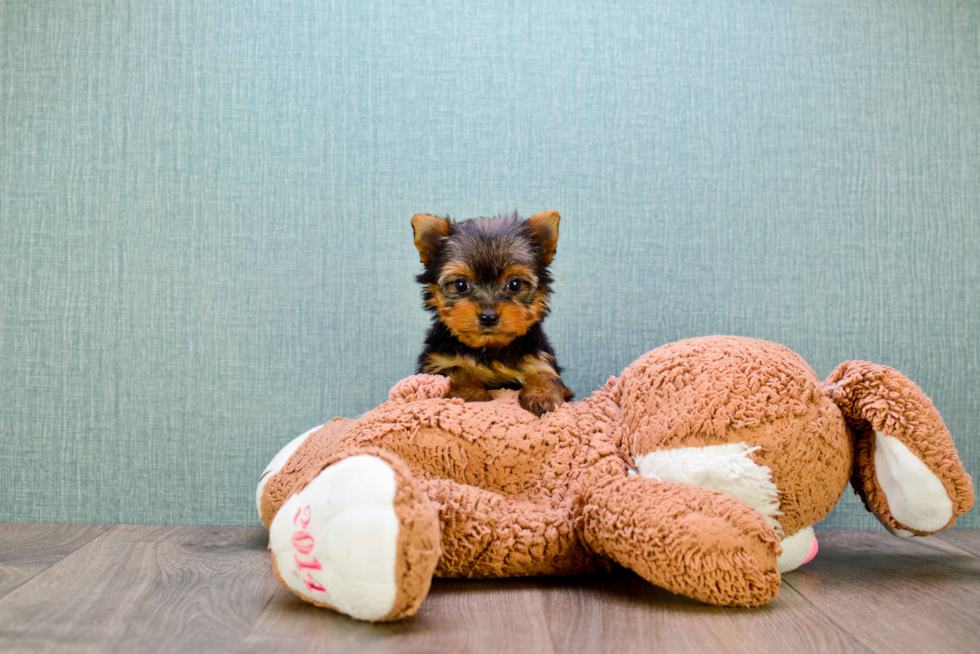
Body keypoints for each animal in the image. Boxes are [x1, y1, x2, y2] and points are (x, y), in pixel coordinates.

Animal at [408, 213, 576, 418]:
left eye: (515, 284)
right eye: (460, 285)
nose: (488, 317)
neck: (490, 349)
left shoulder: (539, 359)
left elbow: (547, 375)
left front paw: (543, 395)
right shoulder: (437, 363)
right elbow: (454, 371)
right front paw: (471, 393)